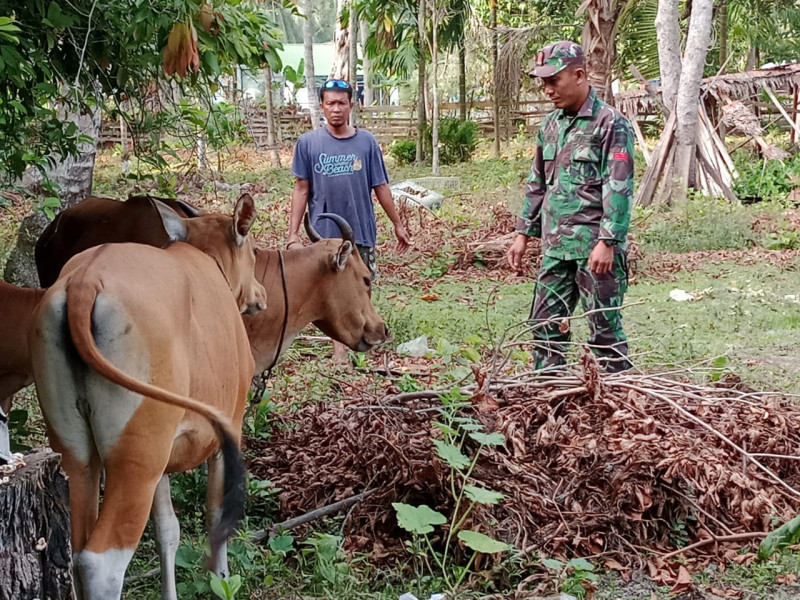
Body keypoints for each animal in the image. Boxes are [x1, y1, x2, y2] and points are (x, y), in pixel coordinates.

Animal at [28, 195, 266, 596]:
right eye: (252, 250)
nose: (261, 294)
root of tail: (84, 281)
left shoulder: (164, 461)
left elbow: (167, 530)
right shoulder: (227, 431)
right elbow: (217, 516)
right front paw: (221, 579)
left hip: (76, 449)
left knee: (75, 548)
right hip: (138, 455)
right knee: (100, 562)